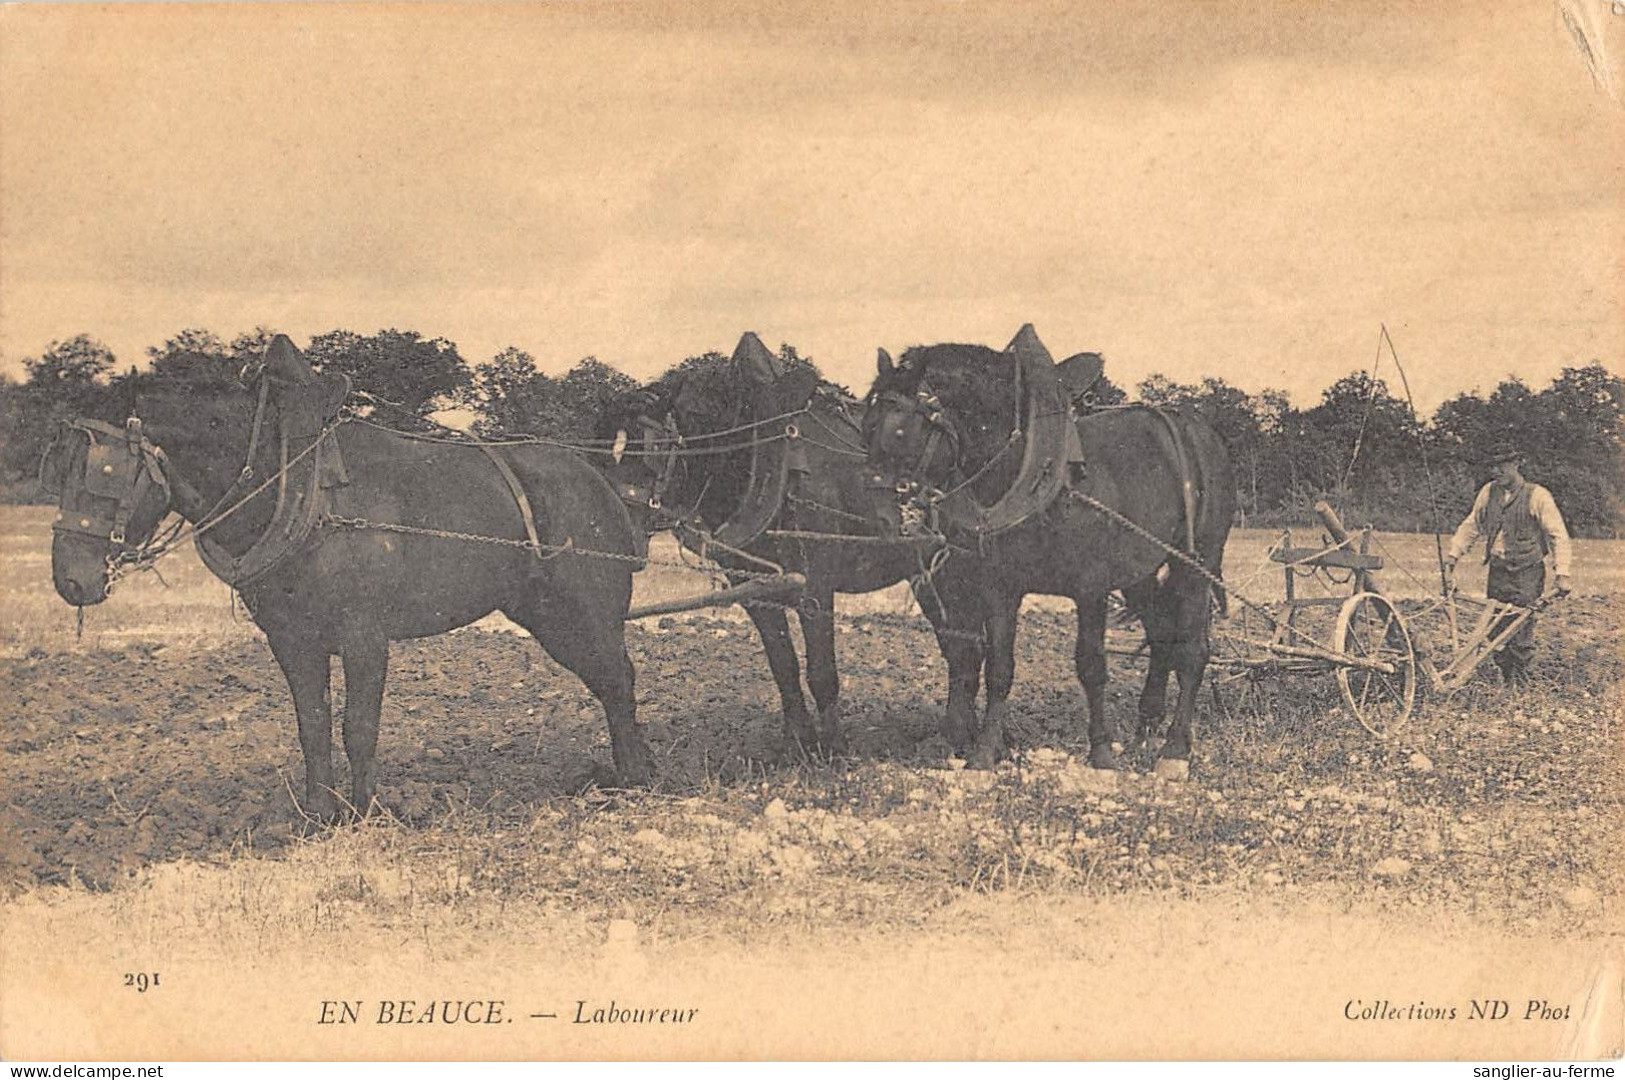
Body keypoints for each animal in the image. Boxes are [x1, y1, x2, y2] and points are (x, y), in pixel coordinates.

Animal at [46, 332, 653, 812]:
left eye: (100, 471)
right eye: (60, 465)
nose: (69, 579)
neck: (296, 487)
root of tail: (598, 478)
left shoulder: (365, 636)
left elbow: (358, 728)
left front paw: (365, 814)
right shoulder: (293, 640)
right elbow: (312, 726)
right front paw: (319, 815)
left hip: (587, 614)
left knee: (617, 679)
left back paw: (634, 778)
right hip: (546, 615)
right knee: (607, 681)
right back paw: (630, 770)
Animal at [594, 332, 942, 753]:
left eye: (651, 448)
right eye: (607, 451)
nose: (613, 531)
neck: (763, 460)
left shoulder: (816, 587)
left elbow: (821, 672)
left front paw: (834, 748)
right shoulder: (755, 591)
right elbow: (784, 667)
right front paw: (798, 744)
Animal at [864, 328, 1228, 776]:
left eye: (899, 431)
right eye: (867, 426)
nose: (880, 518)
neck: (1033, 474)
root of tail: (1200, 430)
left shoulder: (1091, 589)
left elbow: (1092, 667)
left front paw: (1101, 754)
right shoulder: (1001, 588)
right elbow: (999, 670)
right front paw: (984, 755)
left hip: (1197, 560)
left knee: (1192, 650)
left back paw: (1174, 750)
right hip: (1139, 571)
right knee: (1161, 635)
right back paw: (1145, 732)